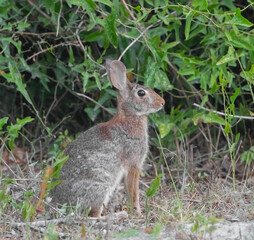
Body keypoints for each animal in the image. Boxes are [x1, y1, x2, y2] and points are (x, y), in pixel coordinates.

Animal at [51, 60, 165, 218]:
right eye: (141, 93)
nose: (162, 102)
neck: (130, 117)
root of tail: (61, 205)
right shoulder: (133, 164)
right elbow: (133, 192)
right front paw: (137, 213)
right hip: (100, 186)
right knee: (94, 216)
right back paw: (118, 215)